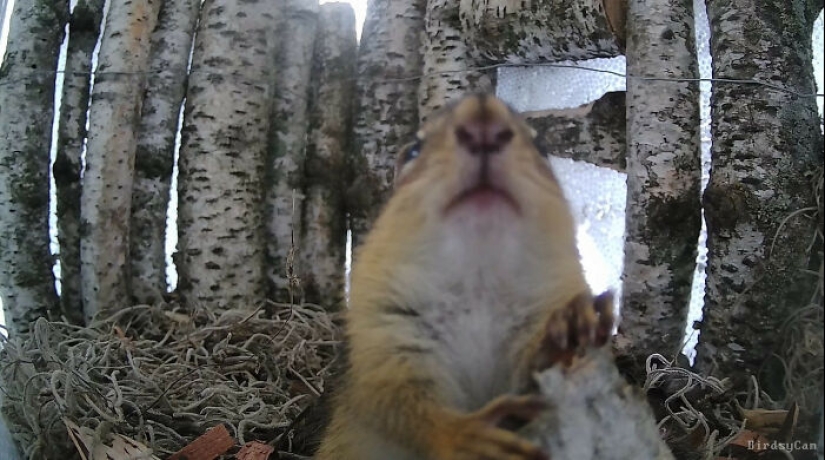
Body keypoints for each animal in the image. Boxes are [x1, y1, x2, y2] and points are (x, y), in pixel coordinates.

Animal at [316, 94, 612, 460]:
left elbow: (531, 377)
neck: (478, 286)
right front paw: (465, 435)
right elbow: (398, 406)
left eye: (542, 147)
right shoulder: (383, 344)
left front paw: (569, 326)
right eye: (412, 151)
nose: (483, 118)